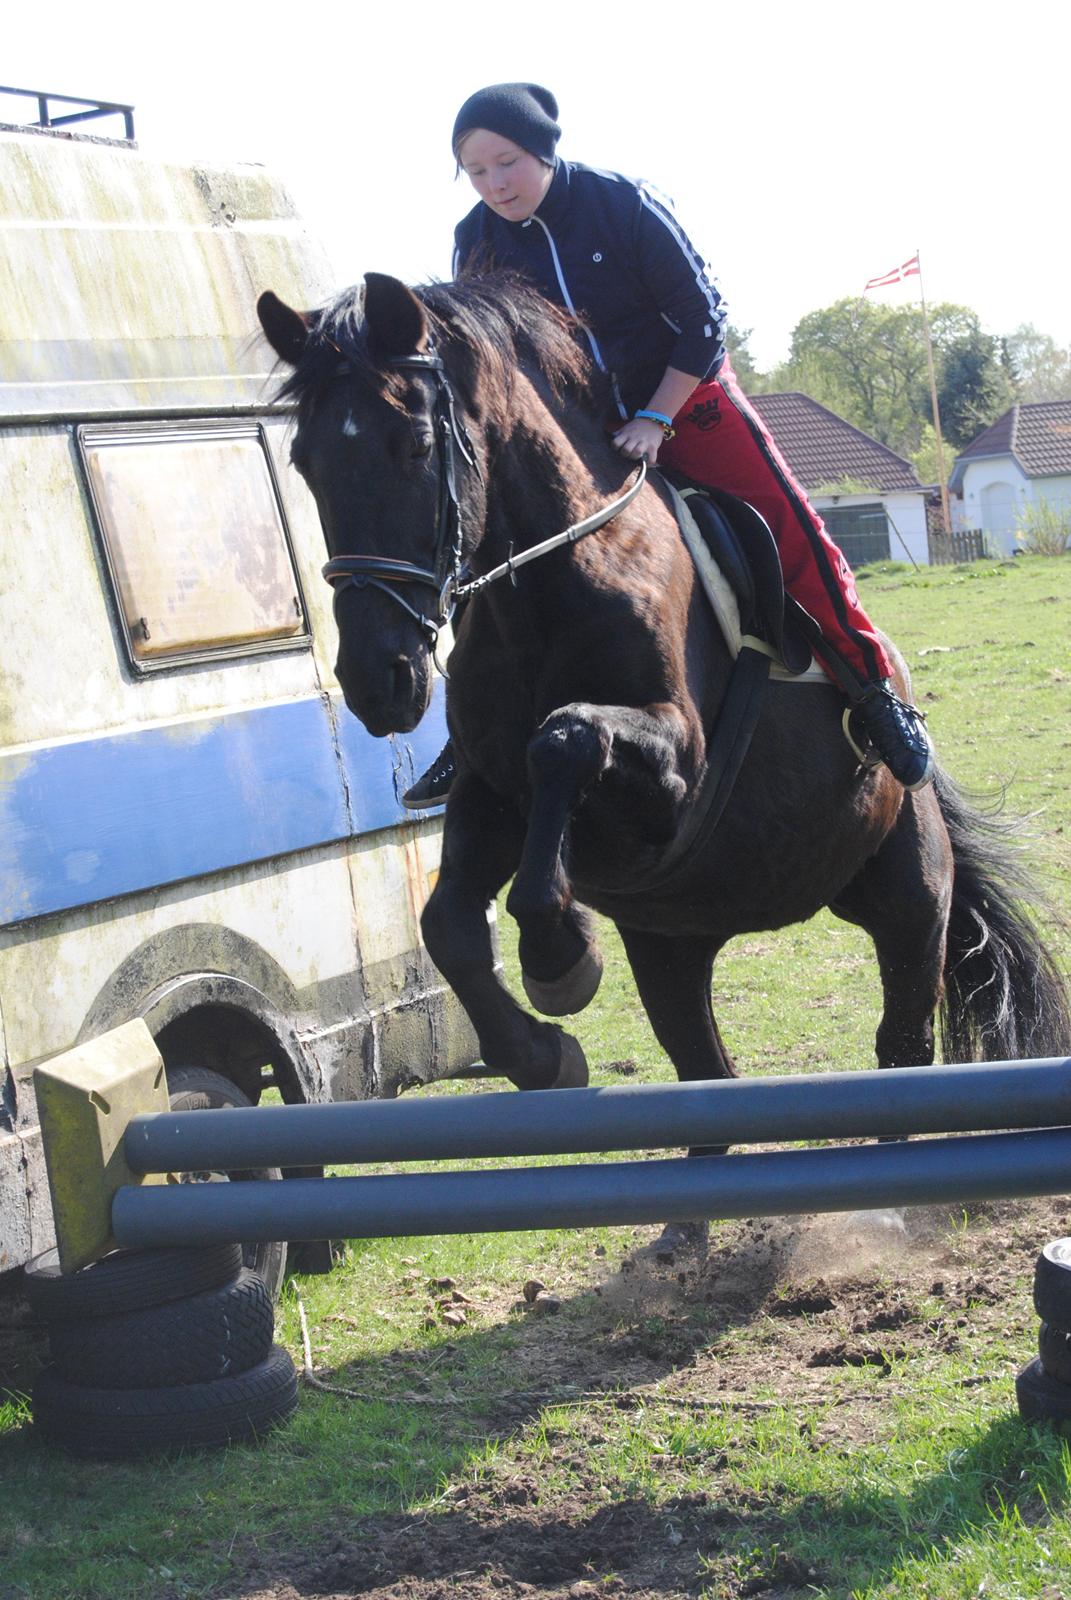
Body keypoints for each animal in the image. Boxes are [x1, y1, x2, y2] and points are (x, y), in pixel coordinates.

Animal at [260, 272, 1069, 1126]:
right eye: (305, 461)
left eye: (414, 446)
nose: (376, 680)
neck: (547, 589)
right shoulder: (486, 787)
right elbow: (446, 921)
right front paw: (539, 1050)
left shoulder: (678, 769)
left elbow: (566, 738)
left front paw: (558, 952)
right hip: (671, 948)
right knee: (705, 1068)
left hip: (910, 902)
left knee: (902, 1044)